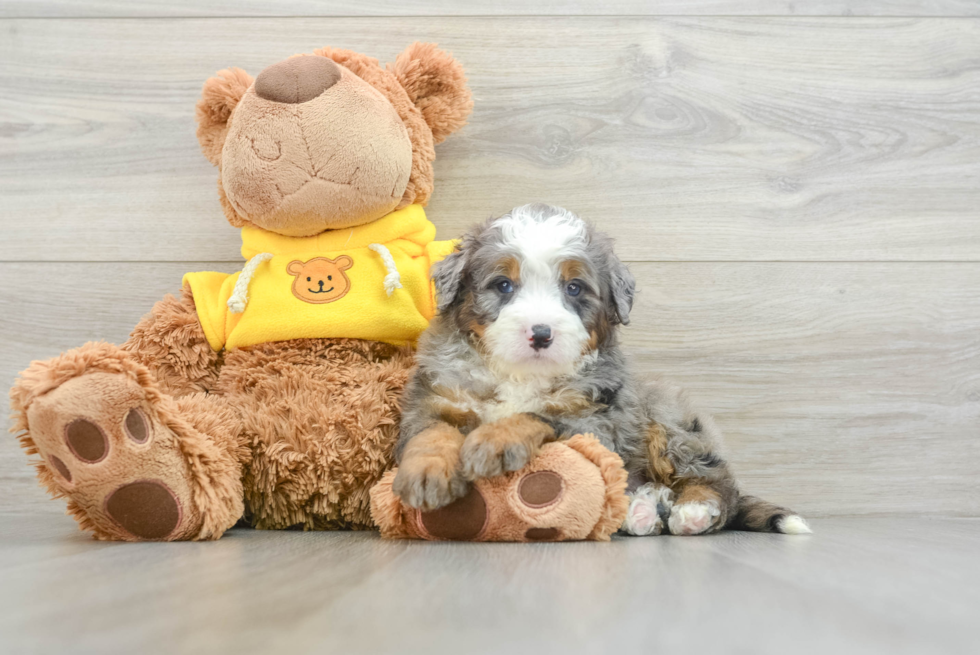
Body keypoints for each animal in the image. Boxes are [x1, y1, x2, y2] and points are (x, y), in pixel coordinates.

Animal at [392, 205, 812, 540]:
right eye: (503, 285)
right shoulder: (434, 396)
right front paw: (426, 474)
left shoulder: (596, 420)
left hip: (669, 424)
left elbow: (539, 414)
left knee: (717, 483)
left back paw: (691, 511)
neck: (520, 375)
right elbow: (431, 433)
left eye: (575, 288)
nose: (541, 334)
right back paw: (640, 510)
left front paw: (493, 442)